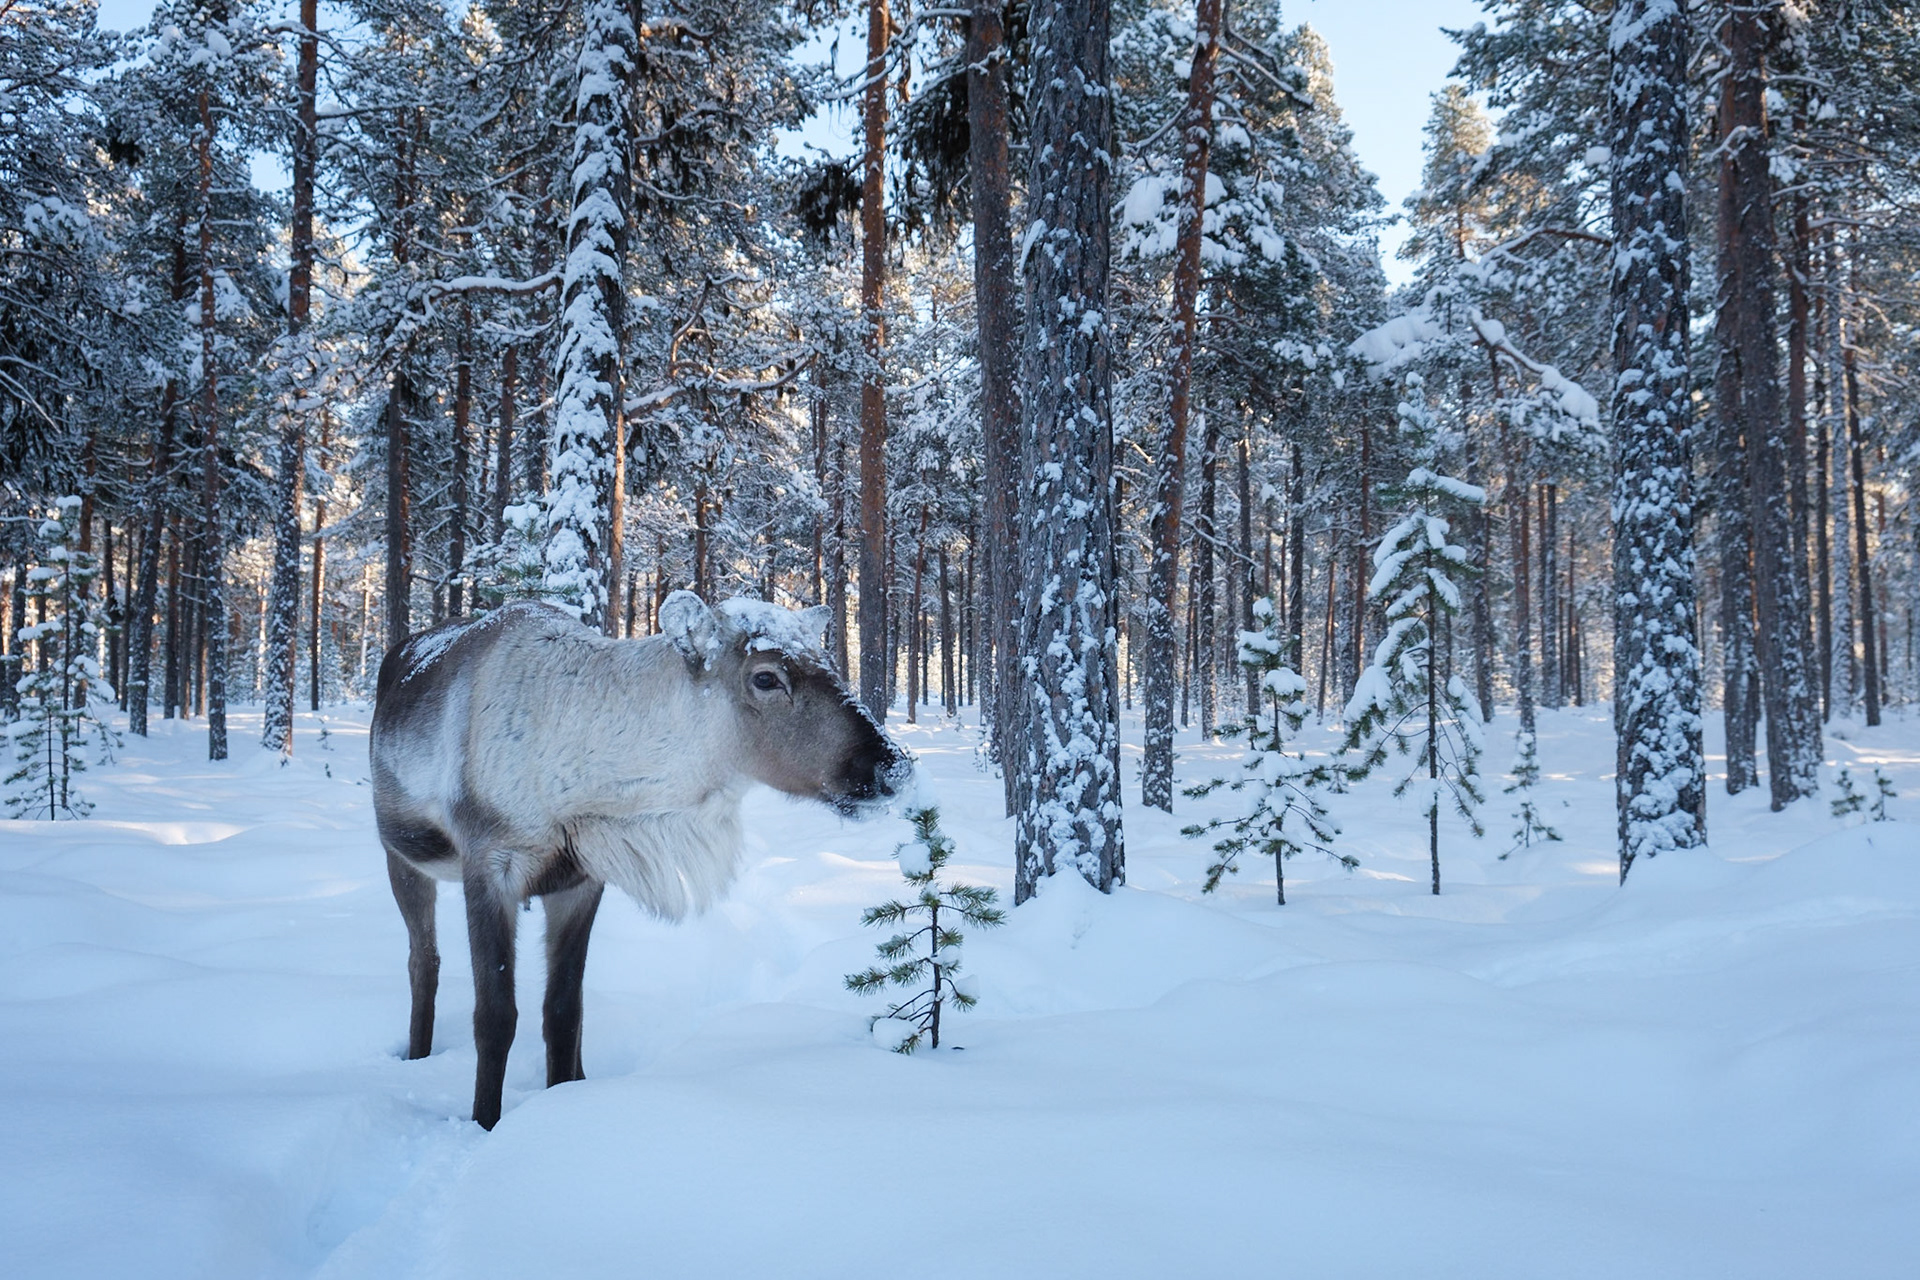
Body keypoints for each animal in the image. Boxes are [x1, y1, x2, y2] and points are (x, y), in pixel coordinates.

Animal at [370, 591, 910, 1129]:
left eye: (830, 663)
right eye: (766, 677)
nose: (894, 767)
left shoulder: (579, 881)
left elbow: (564, 1011)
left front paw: (562, 1094)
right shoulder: (490, 867)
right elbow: (495, 1017)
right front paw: (486, 1122)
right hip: (401, 857)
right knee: (423, 960)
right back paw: (416, 1054)